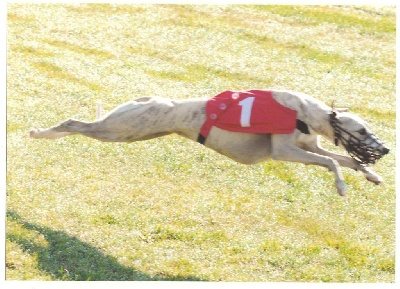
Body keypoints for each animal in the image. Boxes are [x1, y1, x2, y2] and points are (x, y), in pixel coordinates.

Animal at [29, 89, 390, 195]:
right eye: (361, 131)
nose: (385, 148)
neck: (304, 112)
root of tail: (146, 99)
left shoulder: (308, 147)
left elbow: (344, 159)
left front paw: (371, 174)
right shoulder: (284, 151)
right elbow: (331, 161)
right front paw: (341, 187)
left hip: (129, 132)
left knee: (79, 126)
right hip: (119, 130)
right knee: (74, 123)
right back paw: (40, 133)